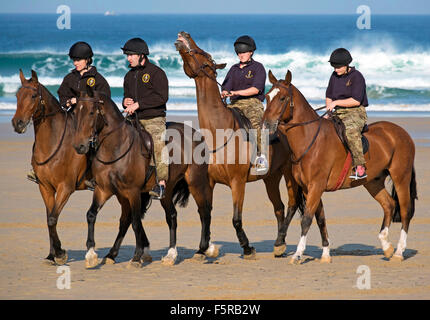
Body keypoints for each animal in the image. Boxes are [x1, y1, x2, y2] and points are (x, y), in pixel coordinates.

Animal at [11, 70, 90, 264]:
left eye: (33, 96)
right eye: (17, 95)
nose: (17, 123)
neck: (54, 143)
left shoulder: (65, 188)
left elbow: (53, 219)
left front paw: (60, 253)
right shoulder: (45, 187)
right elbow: (49, 219)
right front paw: (51, 254)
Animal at [72, 87, 217, 268]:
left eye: (91, 112)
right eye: (75, 112)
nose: (79, 146)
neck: (116, 147)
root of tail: (196, 135)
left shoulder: (133, 192)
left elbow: (135, 222)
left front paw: (136, 257)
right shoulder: (104, 190)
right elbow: (92, 215)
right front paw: (91, 254)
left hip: (196, 183)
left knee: (204, 211)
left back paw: (202, 250)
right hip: (166, 190)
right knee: (170, 216)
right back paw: (170, 254)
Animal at [174, 31, 302, 258]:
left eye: (205, 54)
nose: (183, 34)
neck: (219, 133)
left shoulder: (237, 183)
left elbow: (235, 218)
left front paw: (247, 247)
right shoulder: (209, 182)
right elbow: (205, 213)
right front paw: (203, 248)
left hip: (289, 175)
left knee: (292, 204)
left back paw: (280, 243)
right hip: (271, 178)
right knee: (278, 207)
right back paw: (279, 244)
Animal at [262, 71, 416, 264]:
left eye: (282, 98)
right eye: (267, 97)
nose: (266, 124)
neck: (310, 140)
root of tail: (401, 133)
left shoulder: (316, 186)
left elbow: (307, 219)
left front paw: (298, 254)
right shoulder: (308, 188)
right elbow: (320, 219)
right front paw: (326, 254)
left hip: (401, 177)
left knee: (404, 210)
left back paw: (398, 252)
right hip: (373, 182)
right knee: (389, 204)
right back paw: (386, 246)